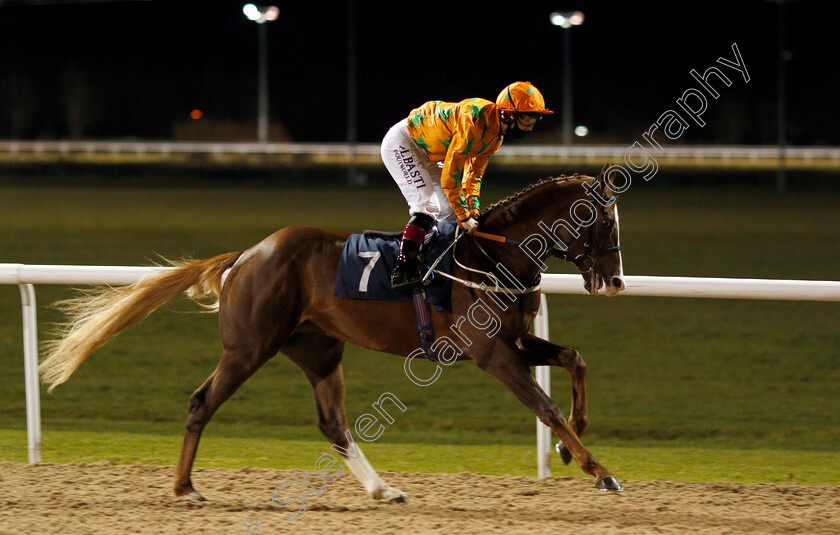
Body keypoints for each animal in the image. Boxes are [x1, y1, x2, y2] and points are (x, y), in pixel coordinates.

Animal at [39, 163, 628, 502]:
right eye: (602, 221)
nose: (615, 281)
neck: (493, 255)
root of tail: (246, 255)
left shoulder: (517, 341)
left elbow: (575, 358)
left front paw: (568, 448)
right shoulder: (491, 354)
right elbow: (544, 406)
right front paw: (598, 470)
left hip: (318, 349)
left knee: (332, 422)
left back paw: (383, 489)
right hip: (249, 346)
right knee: (202, 401)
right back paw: (185, 487)